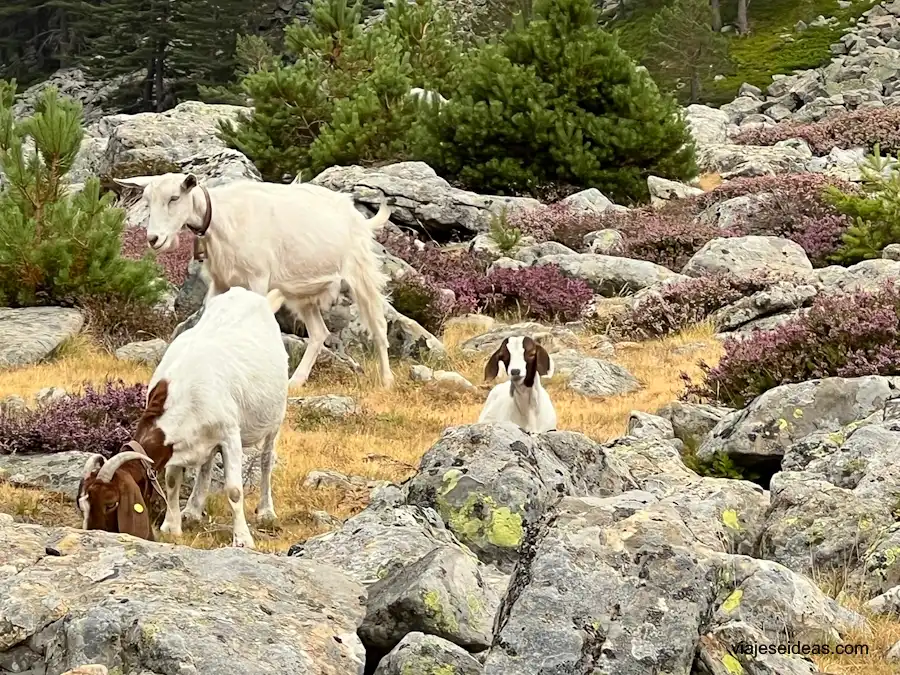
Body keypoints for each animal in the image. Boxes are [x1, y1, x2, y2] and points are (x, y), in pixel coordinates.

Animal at [77, 286, 289, 548]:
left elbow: (234, 490)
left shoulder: (230, 435)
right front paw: (172, 525)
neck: (184, 389)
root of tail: (253, 297)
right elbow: (171, 480)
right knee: (207, 465)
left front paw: (242, 540)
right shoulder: (180, 441)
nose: (95, 533)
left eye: (111, 503)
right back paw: (193, 510)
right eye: (83, 504)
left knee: (267, 460)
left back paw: (266, 512)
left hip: (275, 417)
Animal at [113, 173, 395, 389]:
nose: (153, 239)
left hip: (361, 273)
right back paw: (295, 381)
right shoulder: (220, 283)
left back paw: (387, 381)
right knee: (318, 333)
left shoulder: (257, 279)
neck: (223, 220)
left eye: (174, 198)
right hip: (302, 292)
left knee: (379, 326)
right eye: (147, 201)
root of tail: (358, 217)